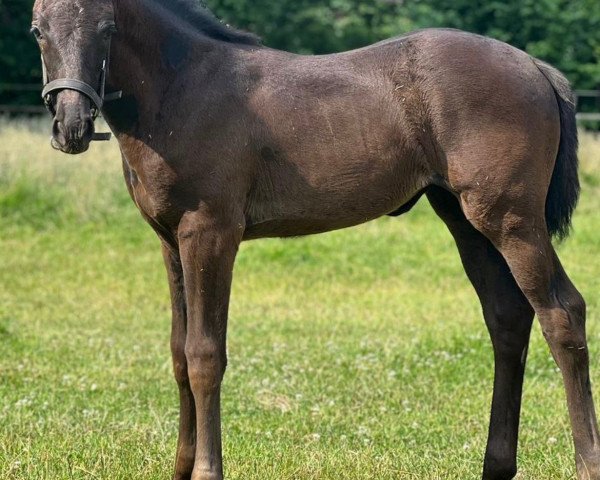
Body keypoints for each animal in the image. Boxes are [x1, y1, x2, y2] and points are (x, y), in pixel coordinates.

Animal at [31, 0, 600, 480]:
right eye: (39, 30)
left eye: (107, 28)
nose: (71, 126)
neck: (181, 89)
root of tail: (537, 67)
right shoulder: (169, 241)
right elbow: (177, 353)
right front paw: (181, 467)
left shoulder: (210, 233)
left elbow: (205, 354)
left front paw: (207, 470)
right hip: (466, 220)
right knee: (507, 317)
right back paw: (496, 465)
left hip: (512, 220)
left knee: (561, 313)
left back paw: (586, 462)